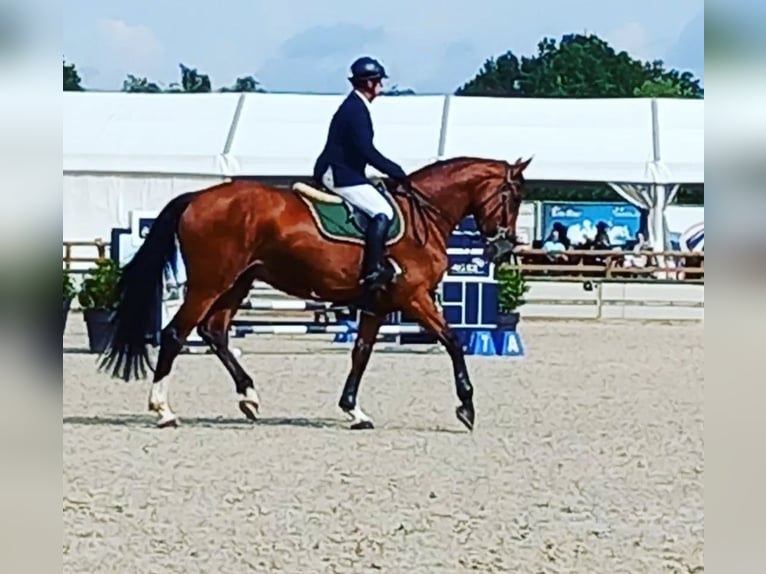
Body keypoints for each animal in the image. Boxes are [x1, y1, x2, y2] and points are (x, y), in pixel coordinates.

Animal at [99, 156, 532, 431]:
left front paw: (354, 412)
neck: (422, 215)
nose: (502, 248)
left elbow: (361, 353)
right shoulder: (414, 296)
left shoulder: (378, 305)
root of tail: (197, 197)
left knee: (215, 332)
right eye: (513, 197)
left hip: (237, 283)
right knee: (176, 333)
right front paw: (467, 406)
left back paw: (249, 397)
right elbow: (453, 340)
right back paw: (163, 410)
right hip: (211, 283)